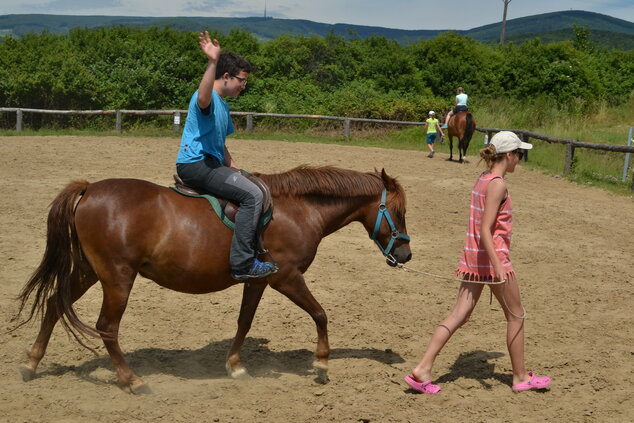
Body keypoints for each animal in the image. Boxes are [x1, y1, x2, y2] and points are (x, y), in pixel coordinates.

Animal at [16, 166, 410, 394]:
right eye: (400, 211)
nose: (406, 255)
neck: (298, 209)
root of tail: (91, 189)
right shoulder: (287, 278)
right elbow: (321, 314)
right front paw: (323, 364)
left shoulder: (257, 279)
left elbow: (244, 321)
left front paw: (235, 366)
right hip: (116, 277)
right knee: (107, 327)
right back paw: (132, 380)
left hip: (88, 271)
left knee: (54, 305)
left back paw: (31, 363)